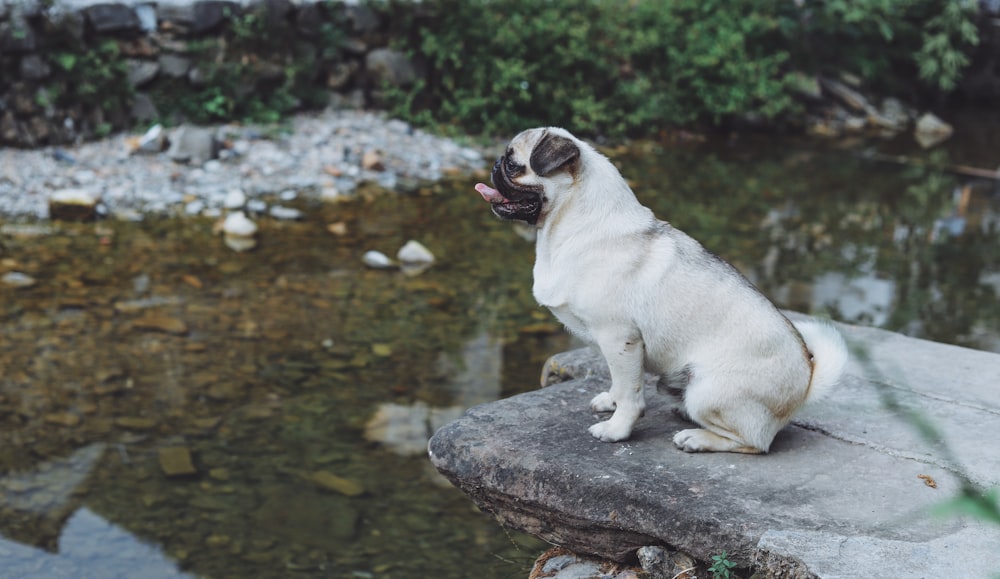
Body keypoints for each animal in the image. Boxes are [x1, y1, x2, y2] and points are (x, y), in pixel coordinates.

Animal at [472, 129, 848, 456]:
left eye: (513, 165)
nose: (493, 165)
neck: (569, 227)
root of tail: (806, 380)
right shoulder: (615, 348)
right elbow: (620, 382)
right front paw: (610, 401)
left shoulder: (619, 338)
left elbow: (631, 395)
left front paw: (617, 429)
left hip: (706, 390)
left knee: (755, 442)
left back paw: (696, 438)